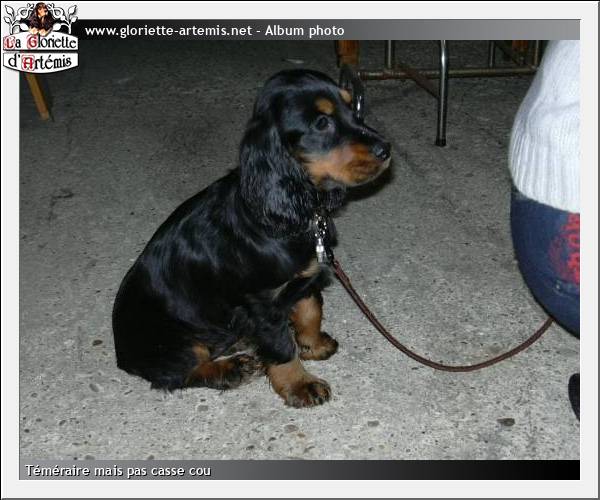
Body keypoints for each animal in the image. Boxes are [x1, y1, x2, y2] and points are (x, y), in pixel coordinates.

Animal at [112, 69, 391, 407]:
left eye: (354, 108)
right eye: (322, 123)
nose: (386, 149)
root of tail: (122, 355)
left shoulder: (301, 278)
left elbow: (311, 308)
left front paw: (312, 345)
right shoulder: (263, 302)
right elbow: (281, 345)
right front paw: (300, 384)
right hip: (173, 342)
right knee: (181, 372)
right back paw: (233, 368)